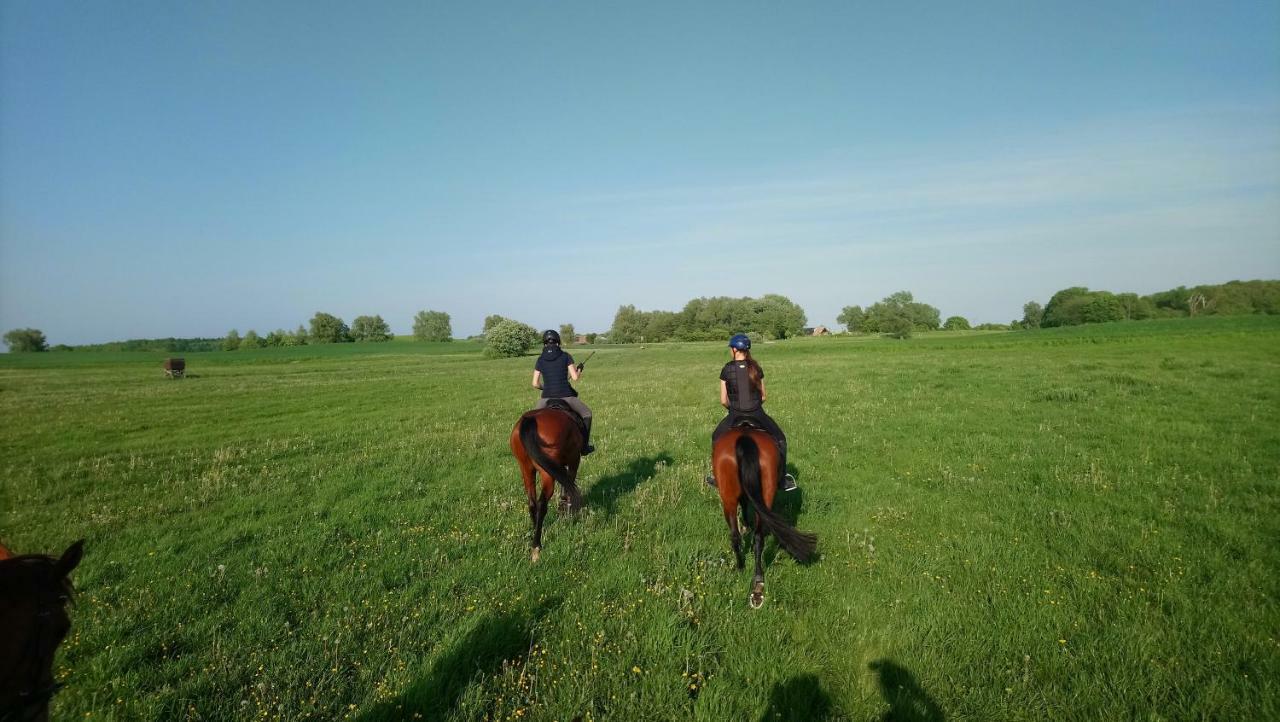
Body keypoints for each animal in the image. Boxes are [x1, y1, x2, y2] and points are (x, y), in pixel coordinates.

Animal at [512, 404, 586, 560]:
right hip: (547, 473)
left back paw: (537, 532)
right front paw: (566, 510)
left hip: (526, 468)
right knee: (542, 503)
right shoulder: (574, 460)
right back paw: (536, 546)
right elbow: (568, 486)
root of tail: (529, 420)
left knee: (532, 503)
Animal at [711, 427, 819, 609]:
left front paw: (746, 524)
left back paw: (743, 569)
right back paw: (753, 575)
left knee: (742, 536)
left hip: (730, 498)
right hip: (759, 494)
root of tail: (745, 436)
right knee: (753, 537)